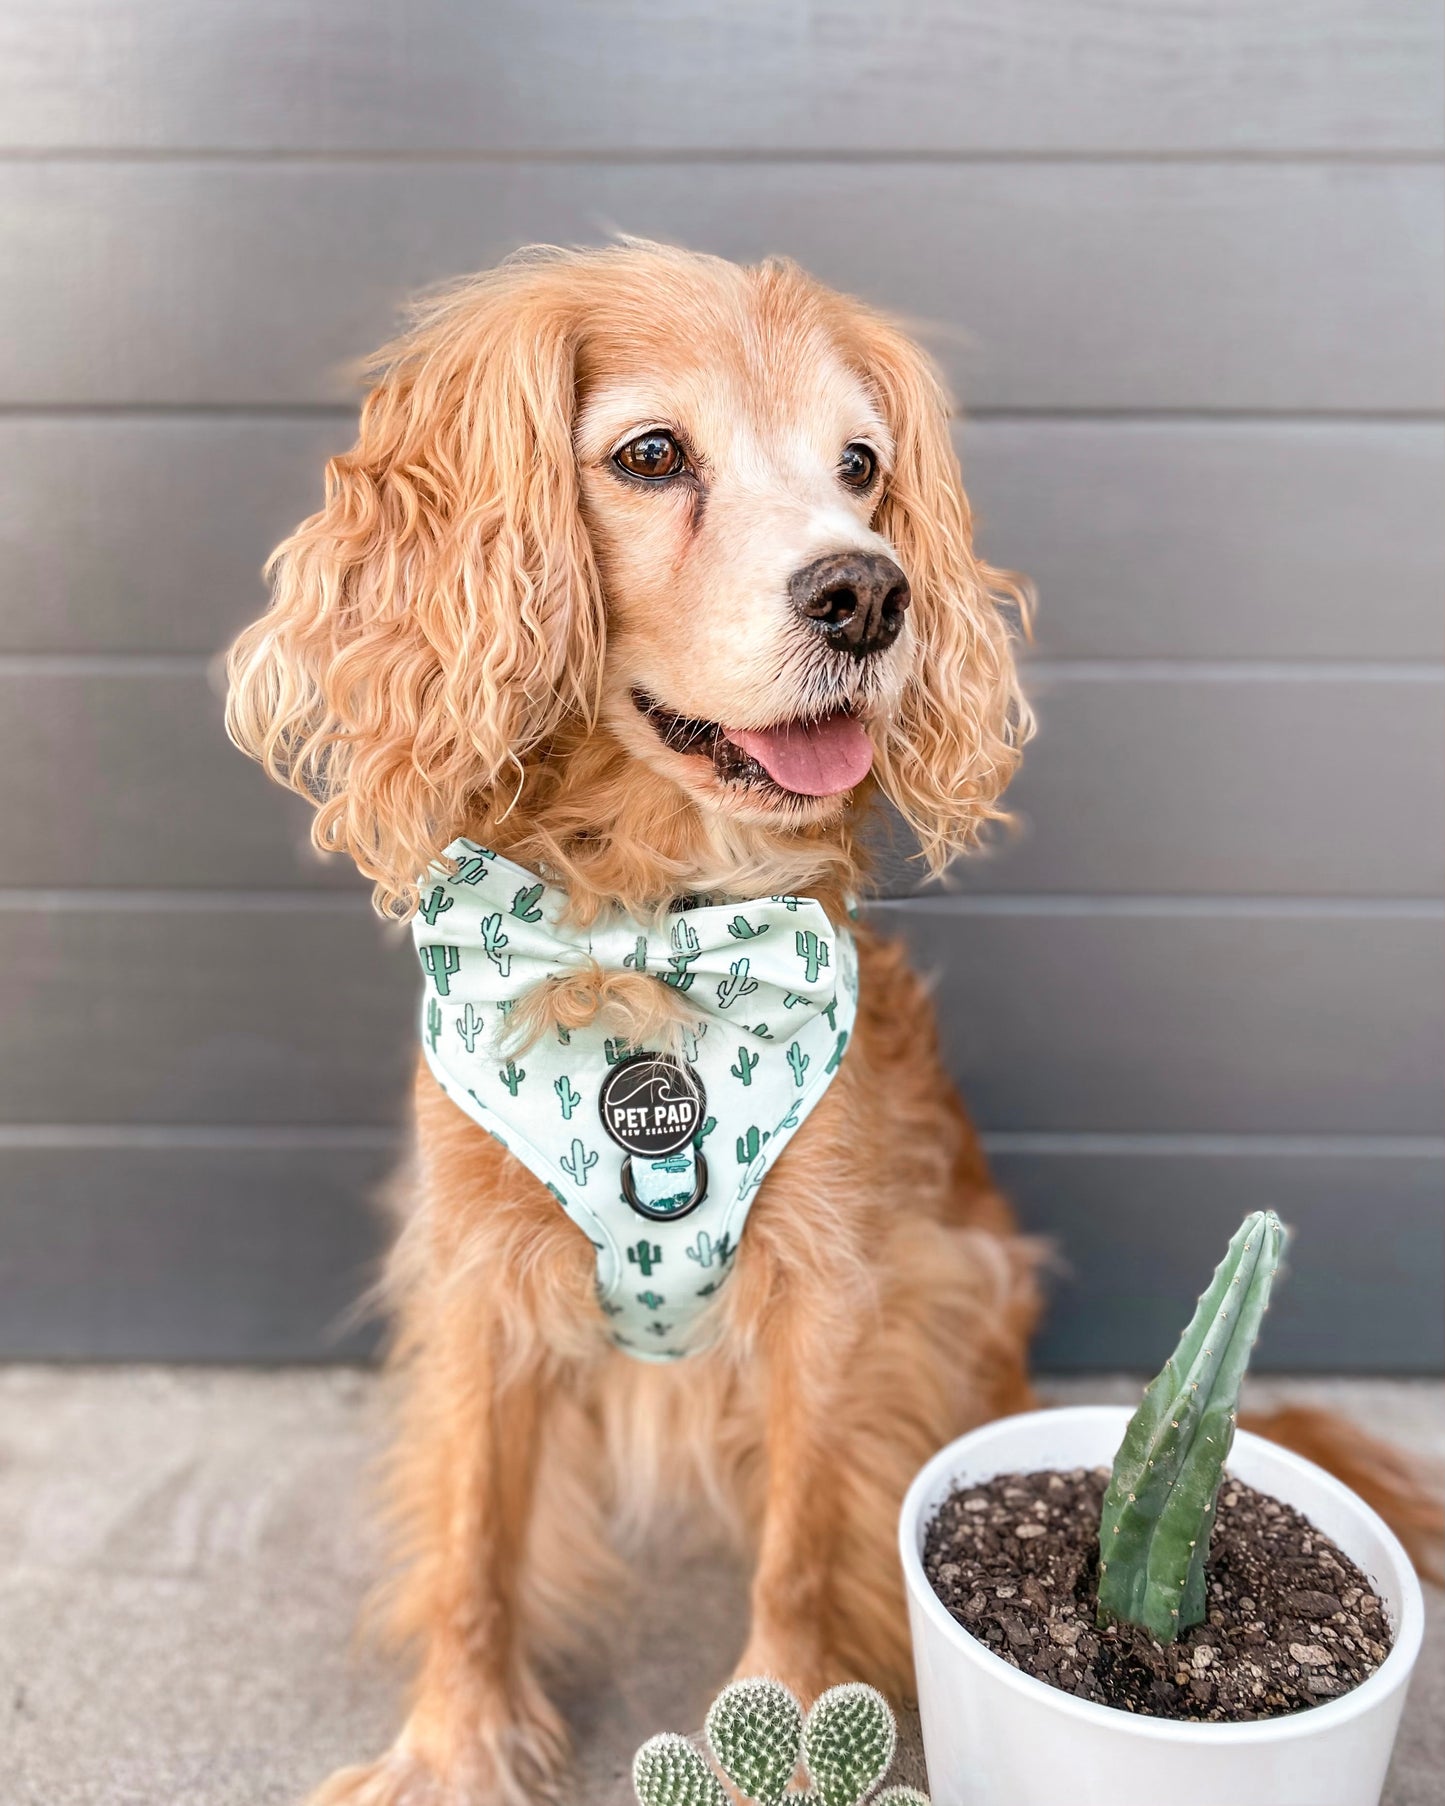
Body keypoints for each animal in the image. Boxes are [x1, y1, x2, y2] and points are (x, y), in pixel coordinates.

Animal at [223, 243, 1430, 1806]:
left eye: (861, 466)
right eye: (650, 454)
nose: (867, 592)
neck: (646, 934)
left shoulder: (834, 1293)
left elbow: (800, 1541)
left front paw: (780, 1717)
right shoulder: (479, 1282)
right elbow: (478, 1538)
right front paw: (454, 1746)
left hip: (958, 1286)